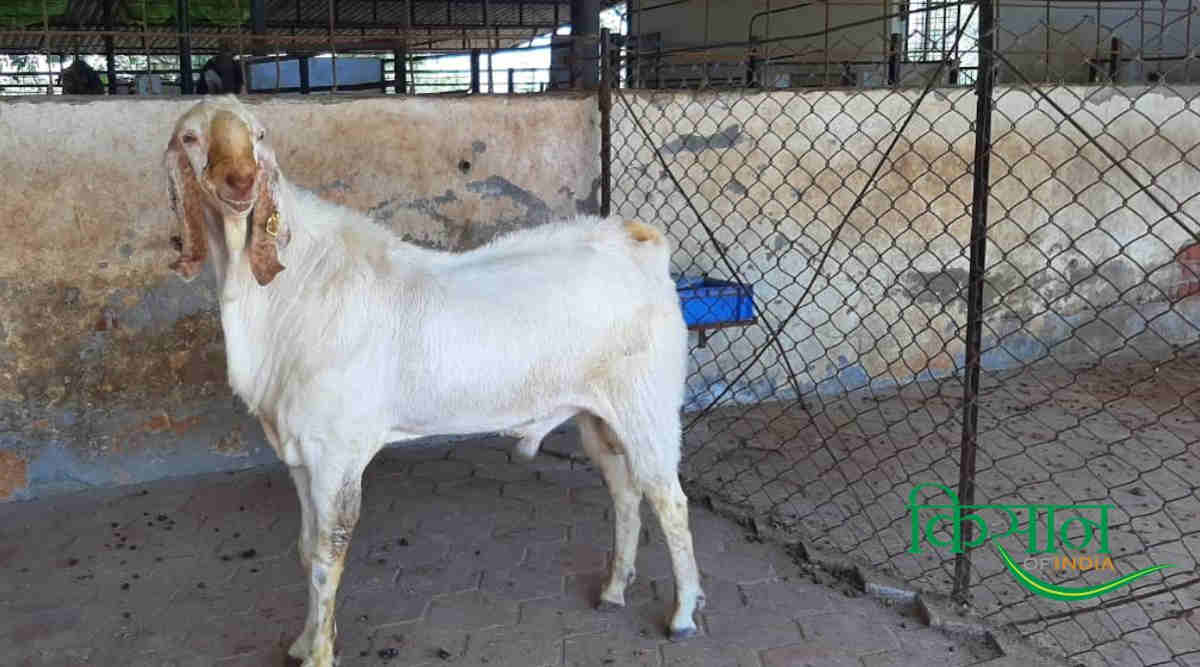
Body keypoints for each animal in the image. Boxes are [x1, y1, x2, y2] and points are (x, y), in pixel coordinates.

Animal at [163, 96, 704, 667]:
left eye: (259, 135)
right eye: (191, 137)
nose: (240, 181)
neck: (290, 289)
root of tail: (641, 243)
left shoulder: (337, 450)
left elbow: (327, 555)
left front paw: (321, 653)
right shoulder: (299, 454)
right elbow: (306, 547)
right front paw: (305, 641)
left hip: (647, 403)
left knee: (669, 499)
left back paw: (683, 615)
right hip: (597, 414)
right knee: (625, 489)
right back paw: (614, 589)